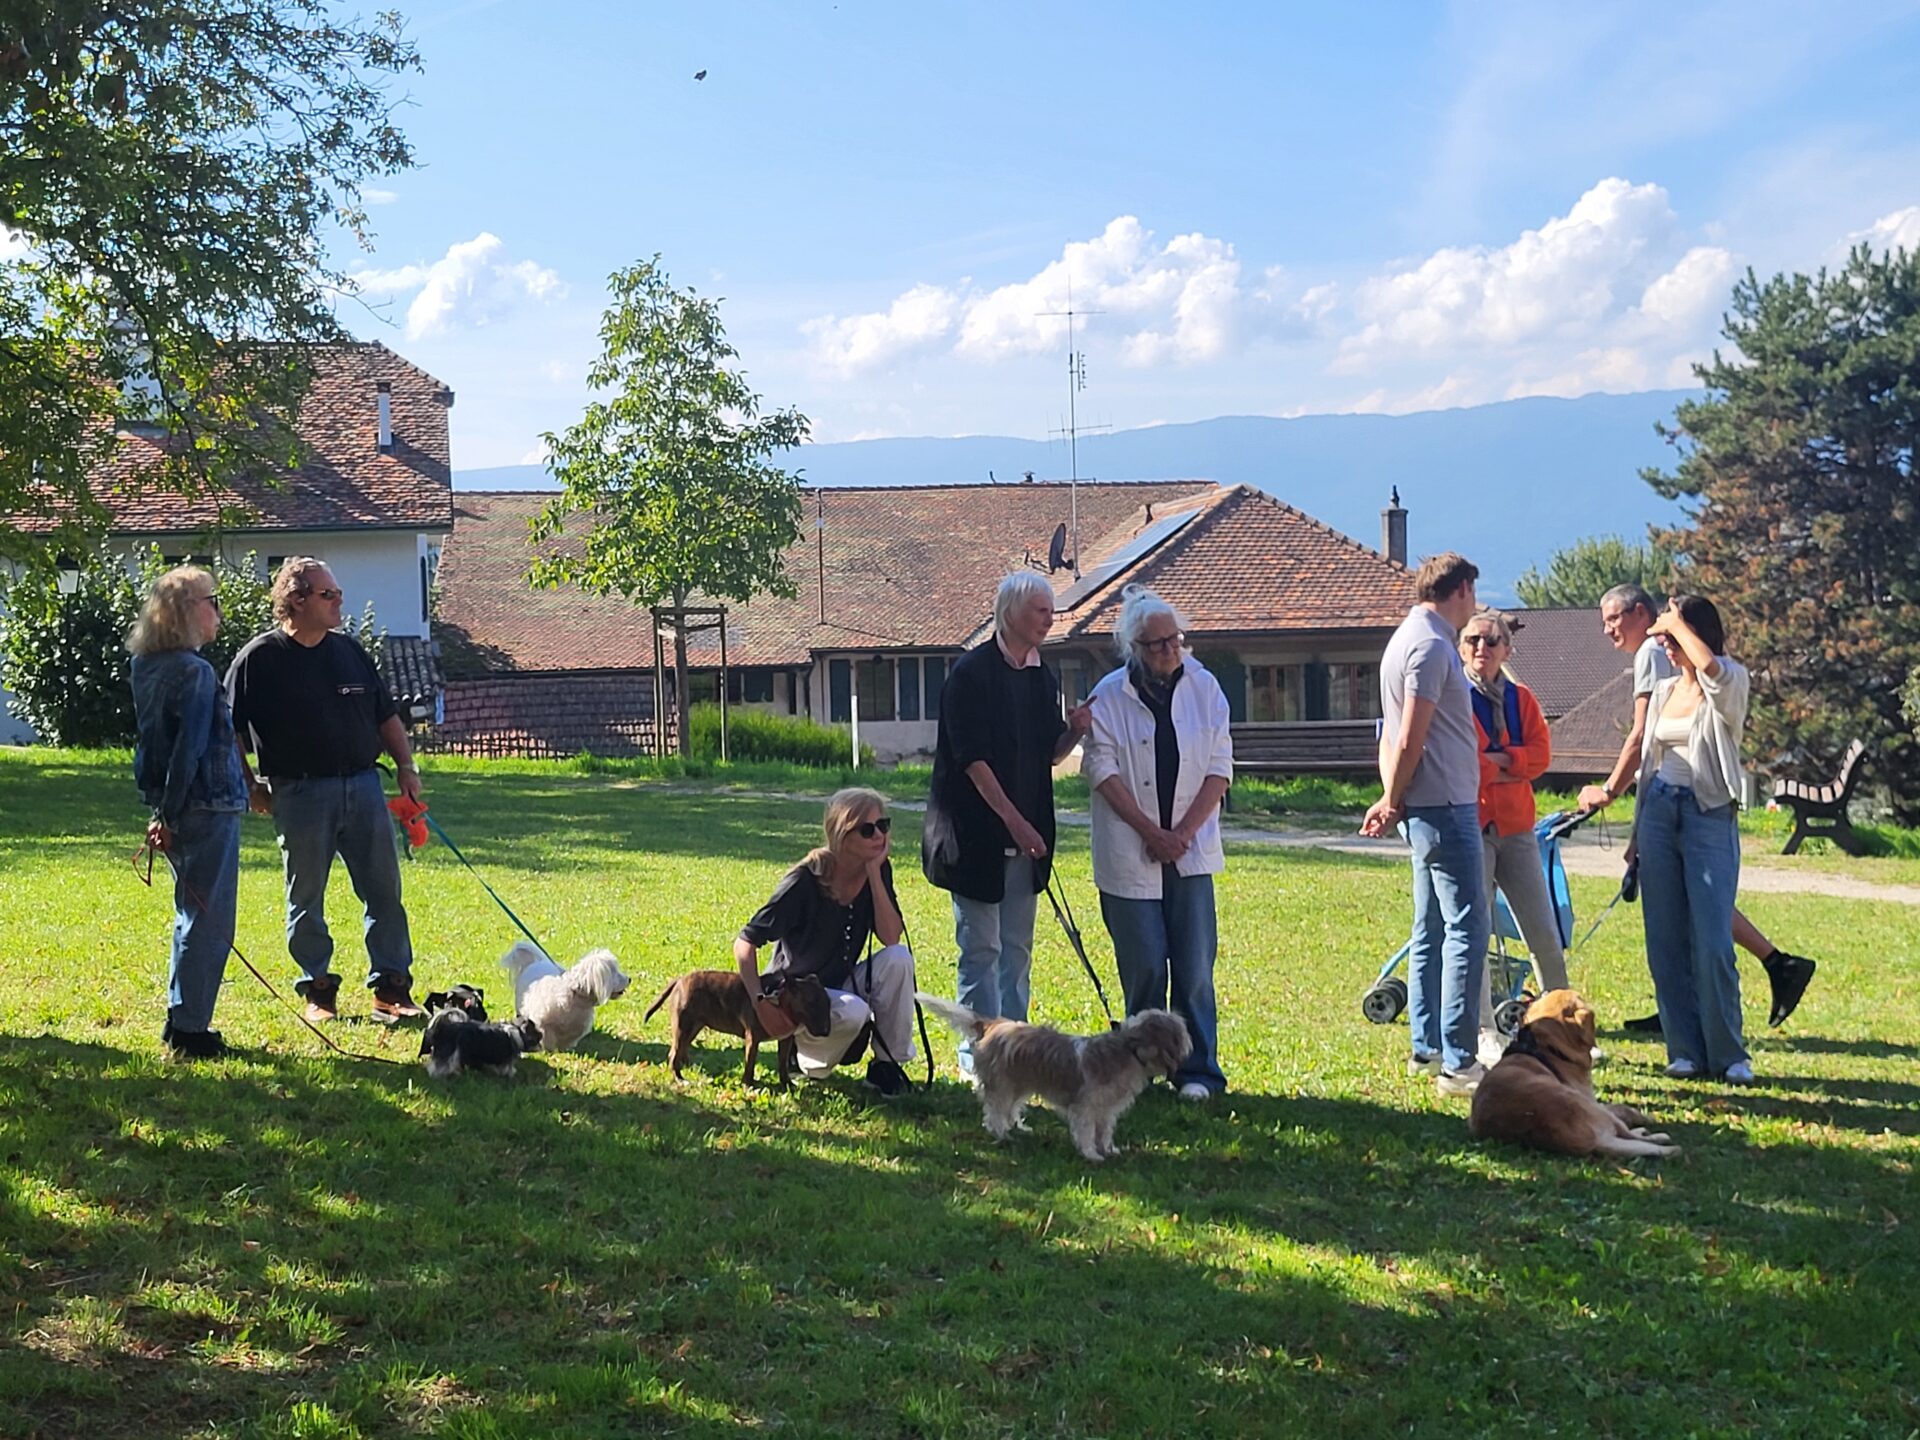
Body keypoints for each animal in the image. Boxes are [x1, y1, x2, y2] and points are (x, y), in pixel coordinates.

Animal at [910, 998, 1182, 1167]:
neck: (1129, 1050)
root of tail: (995, 1024)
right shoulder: (1086, 1108)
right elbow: (1086, 1133)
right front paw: (1092, 1155)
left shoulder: (1107, 1111)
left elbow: (1104, 1132)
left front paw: (1108, 1149)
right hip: (1002, 1086)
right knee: (994, 1113)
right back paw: (1002, 1135)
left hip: (1018, 1085)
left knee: (1009, 1110)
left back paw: (1017, 1128)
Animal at [1466, 990, 1681, 1159]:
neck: (1547, 1047)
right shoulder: (1592, 1100)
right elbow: (1622, 1109)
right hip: (1590, 1107)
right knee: (1629, 1134)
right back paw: (1656, 1137)